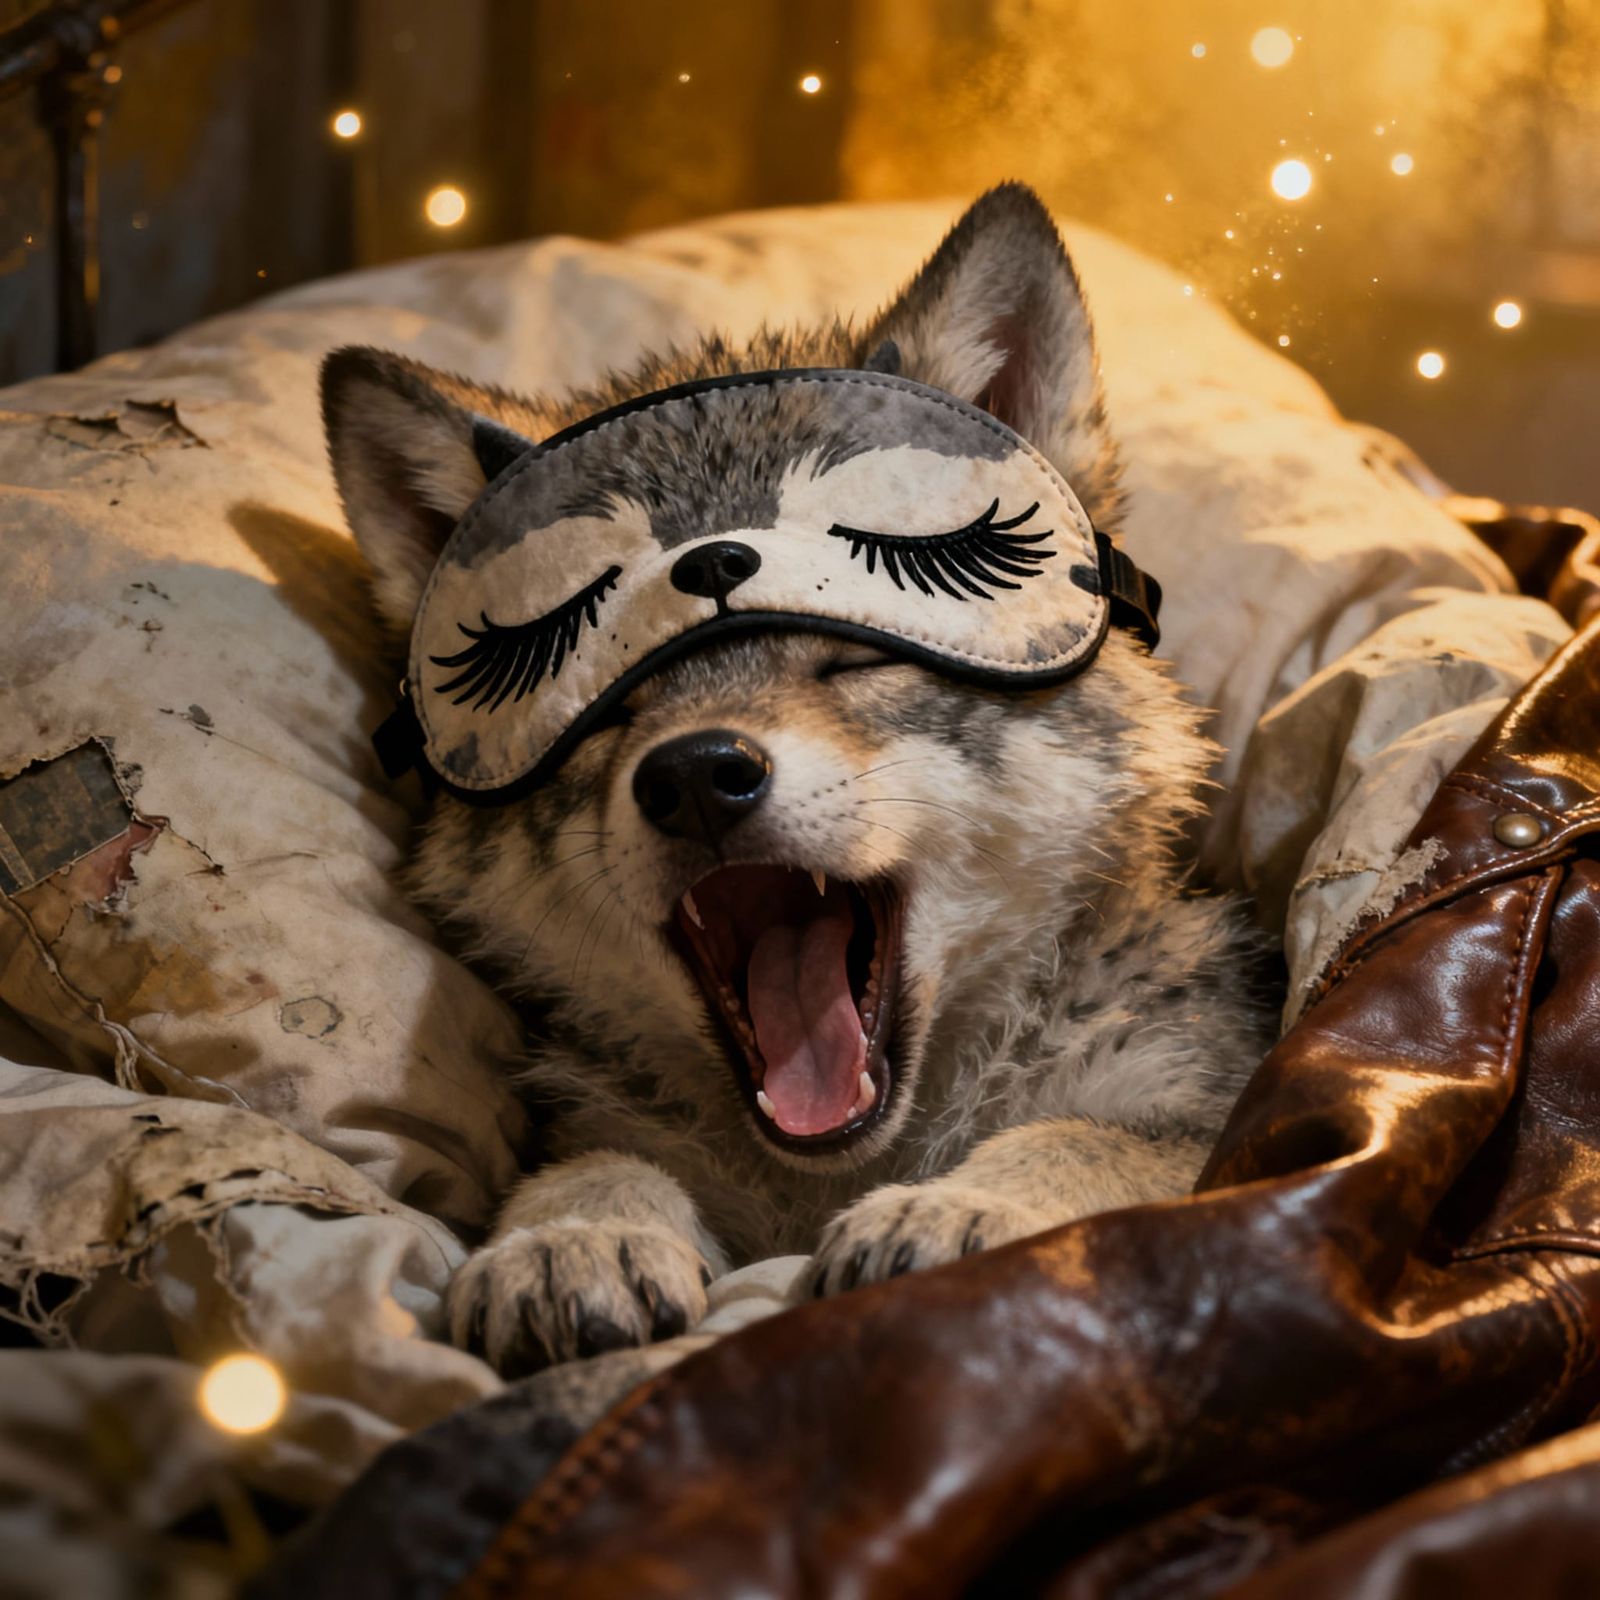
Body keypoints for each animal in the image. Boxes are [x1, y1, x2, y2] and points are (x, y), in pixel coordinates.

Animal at [321, 183, 1270, 1378]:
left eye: (853, 658)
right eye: (602, 707)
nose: (696, 774)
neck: (848, 1166)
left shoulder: (1209, 1118)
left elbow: (1076, 1142)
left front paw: (959, 1209)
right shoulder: (610, 1132)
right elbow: (591, 1165)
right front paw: (574, 1235)